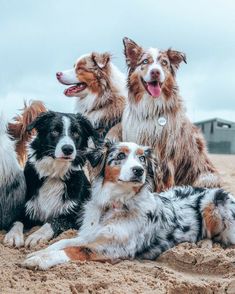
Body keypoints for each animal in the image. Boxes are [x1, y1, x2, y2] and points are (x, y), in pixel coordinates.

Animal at [3, 111, 95, 247]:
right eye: (55, 131)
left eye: (76, 133)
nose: (68, 149)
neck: (54, 174)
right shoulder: (21, 207)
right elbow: (17, 221)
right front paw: (13, 235)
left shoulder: (75, 216)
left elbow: (54, 221)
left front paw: (37, 235)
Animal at [106, 38, 220, 191]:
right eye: (145, 61)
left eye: (164, 63)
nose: (155, 72)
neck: (151, 107)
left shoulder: (166, 155)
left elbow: (163, 182)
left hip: (206, 178)